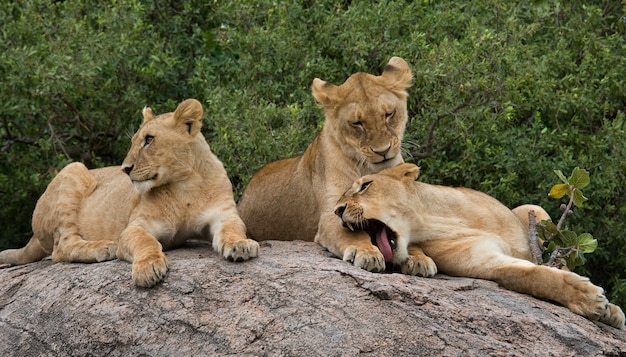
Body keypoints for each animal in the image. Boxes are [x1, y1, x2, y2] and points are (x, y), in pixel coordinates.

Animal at [0, 98, 258, 286]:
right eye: (134, 141)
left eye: (149, 140)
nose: (125, 168)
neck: (185, 186)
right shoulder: (136, 226)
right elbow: (145, 242)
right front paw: (148, 268)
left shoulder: (224, 214)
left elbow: (233, 228)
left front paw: (241, 245)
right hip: (73, 169)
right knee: (62, 247)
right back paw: (104, 248)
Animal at [236, 56, 412, 256]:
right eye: (357, 123)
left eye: (389, 114)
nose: (382, 151)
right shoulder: (330, 215)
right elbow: (352, 234)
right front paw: (366, 252)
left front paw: (418, 258)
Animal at [334, 162, 624, 328]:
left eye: (365, 186)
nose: (337, 210)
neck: (431, 220)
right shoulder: (482, 260)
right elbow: (533, 276)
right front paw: (588, 298)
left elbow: (554, 268)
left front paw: (608, 309)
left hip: (533, 208)